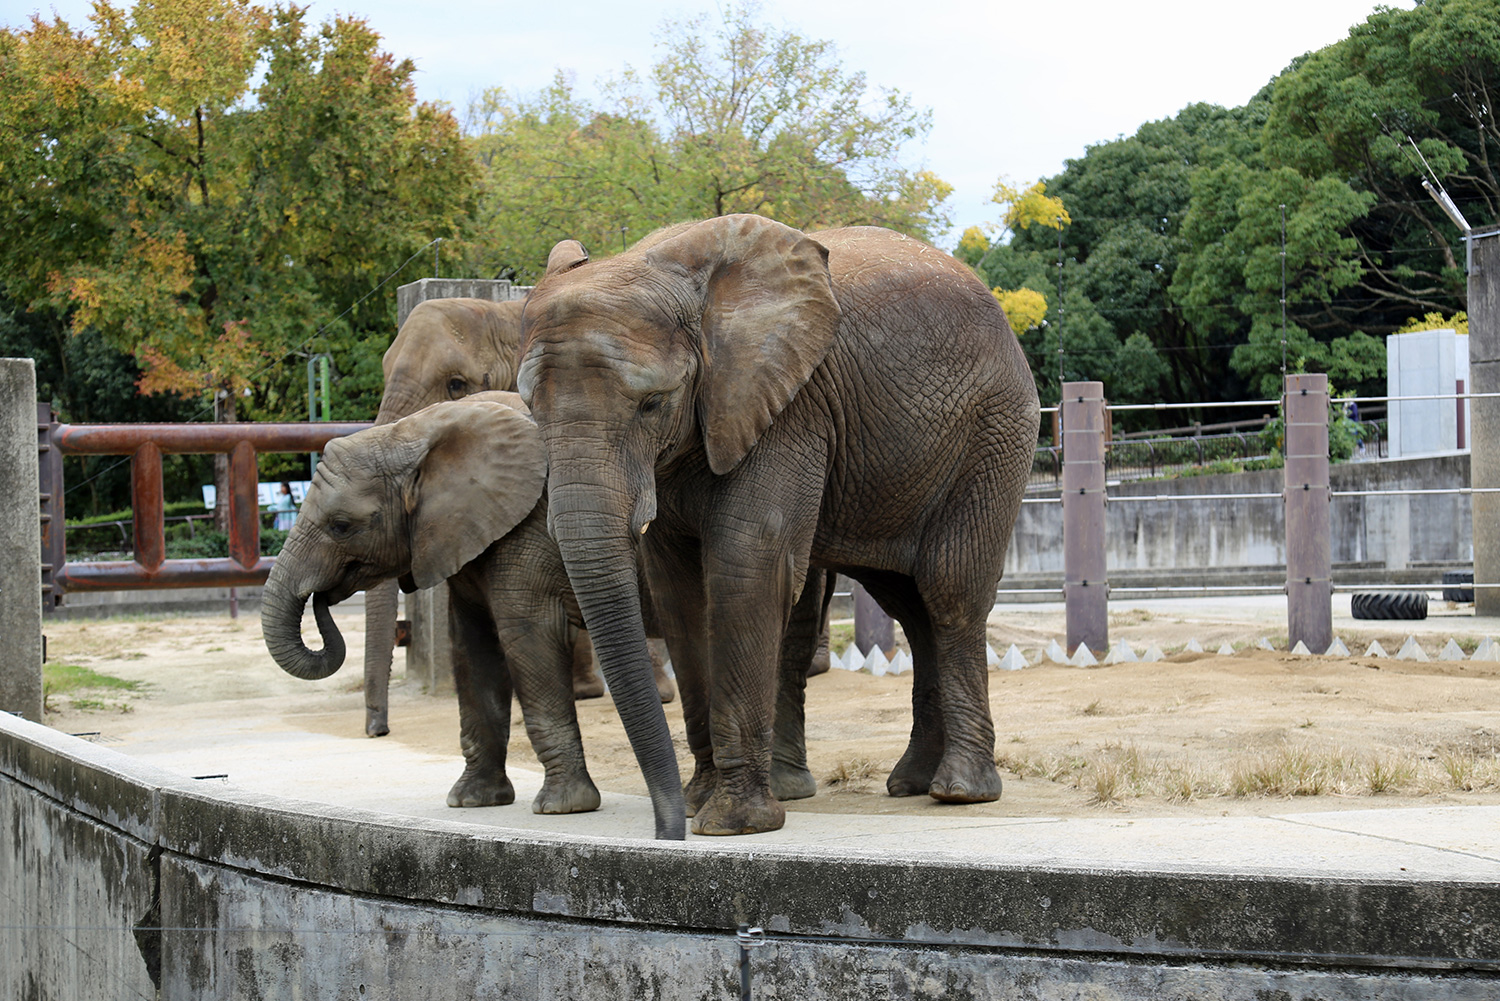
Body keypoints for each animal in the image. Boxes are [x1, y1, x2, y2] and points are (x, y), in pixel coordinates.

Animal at [264, 390, 603, 816]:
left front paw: (563, 807)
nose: (323, 598)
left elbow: (529, 634)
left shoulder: (529, 528)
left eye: (341, 526)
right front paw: (472, 801)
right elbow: (473, 644)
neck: (416, 431)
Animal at [522, 217, 1038, 840]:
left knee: (949, 591)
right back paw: (911, 784)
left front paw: (732, 823)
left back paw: (960, 792)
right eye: (530, 408)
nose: (665, 834)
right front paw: (698, 804)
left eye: (652, 404)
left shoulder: (789, 408)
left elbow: (747, 568)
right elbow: (680, 593)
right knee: (908, 606)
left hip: (995, 430)